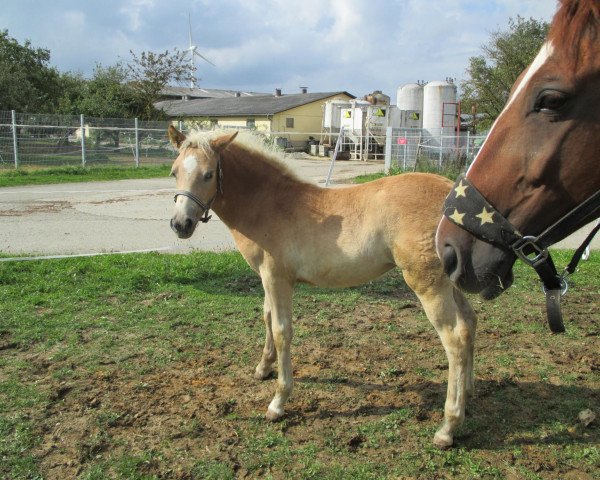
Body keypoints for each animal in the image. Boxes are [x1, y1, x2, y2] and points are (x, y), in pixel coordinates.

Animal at [169, 125, 478, 448]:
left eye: (208, 174)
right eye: (174, 171)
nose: (180, 224)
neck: (268, 203)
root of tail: (451, 198)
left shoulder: (277, 278)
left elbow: (281, 331)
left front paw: (278, 402)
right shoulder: (267, 279)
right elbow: (266, 317)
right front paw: (263, 368)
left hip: (428, 284)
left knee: (454, 339)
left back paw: (448, 427)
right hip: (450, 281)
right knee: (469, 322)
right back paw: (468, 392)